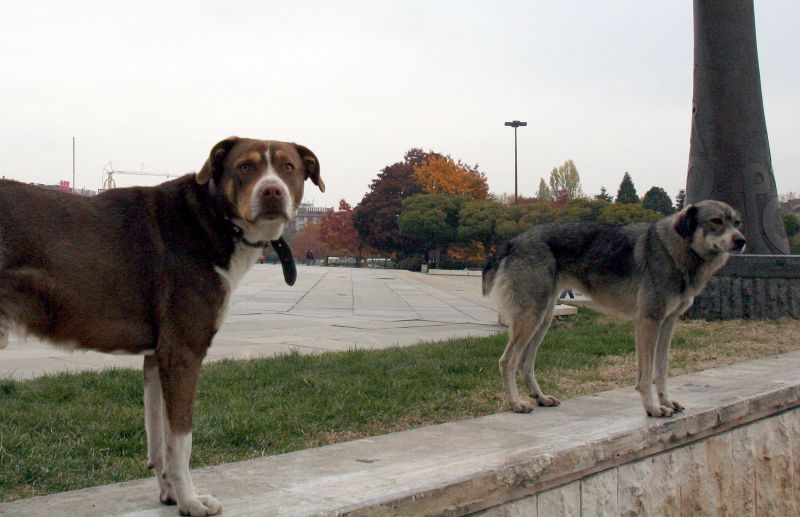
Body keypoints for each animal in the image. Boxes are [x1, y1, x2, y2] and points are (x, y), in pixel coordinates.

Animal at [1, 135, 324, 512]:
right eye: (245, 166)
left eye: (288, 167)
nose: (272, 191)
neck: (212, 218)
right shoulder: (183, 352)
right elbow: (181, 441)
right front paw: (191, 502)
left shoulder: (157, 357)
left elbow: (158, 438)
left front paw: (170, 494)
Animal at [482, 200, 744, 418]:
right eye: (716, 221)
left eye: (737, 223)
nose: (742, 241)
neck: (674, 251)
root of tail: (512, 242)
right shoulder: (648, 322)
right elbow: (645, 375)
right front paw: (652, 409)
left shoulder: (668, 324)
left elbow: (661, 370)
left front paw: (667, 403)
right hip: (531, 319)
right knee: (507, 361)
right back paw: (517, 404)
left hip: (543, 320)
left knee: (525, 364)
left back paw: (542, 399)